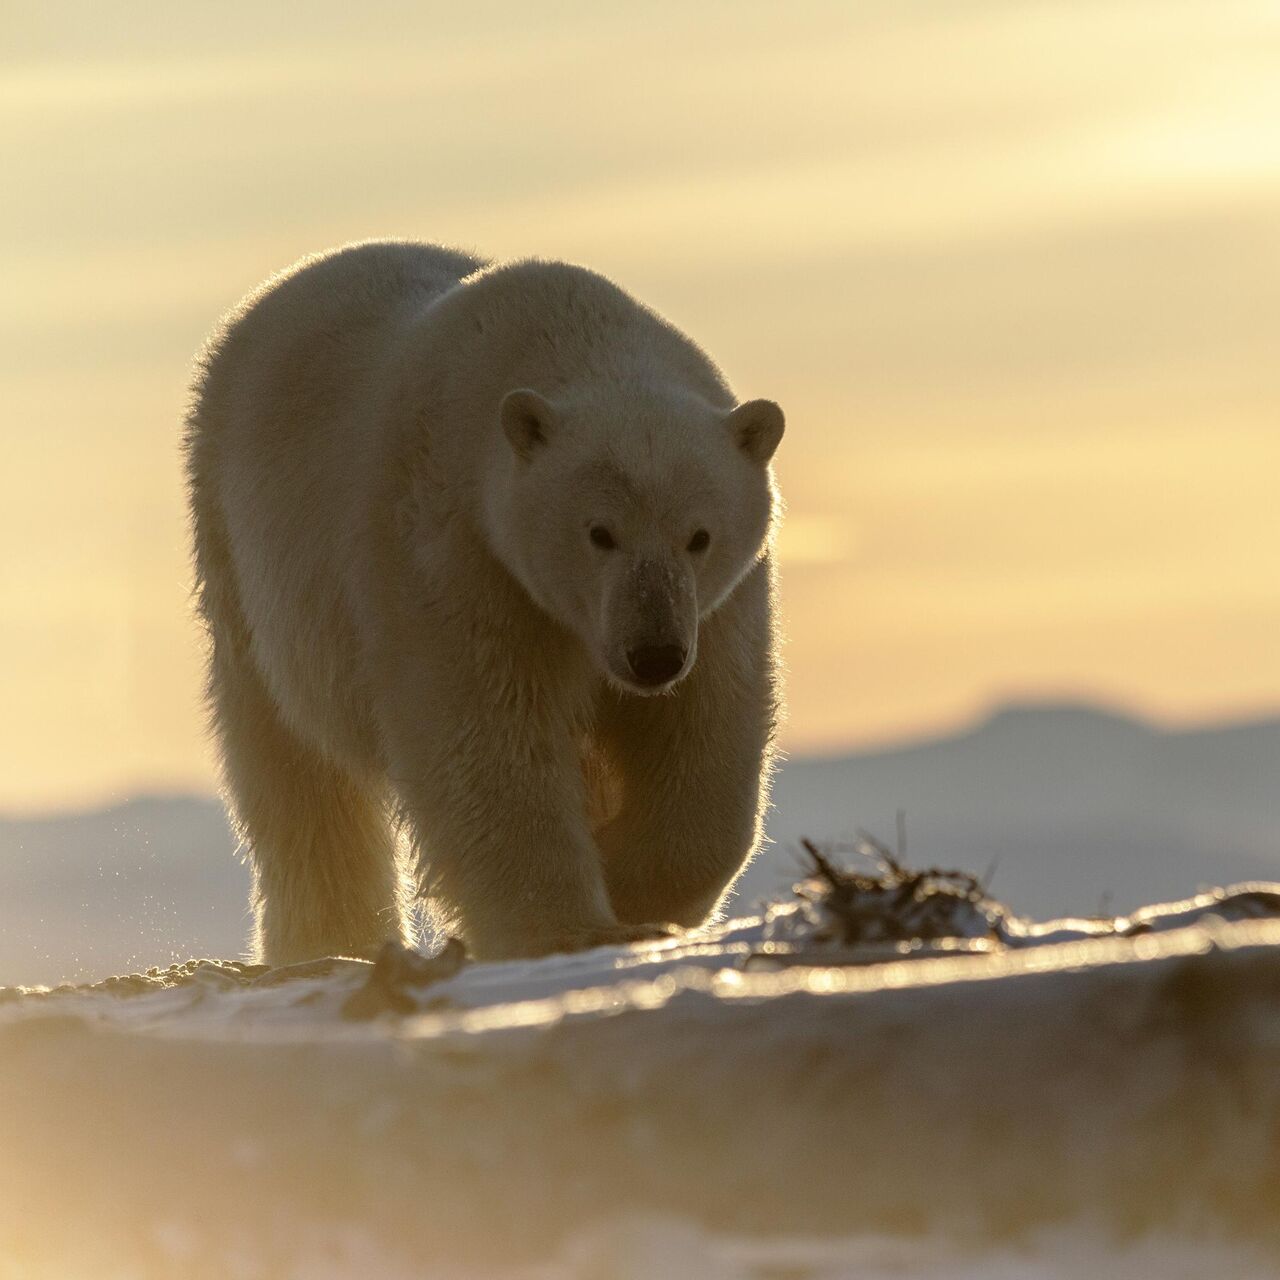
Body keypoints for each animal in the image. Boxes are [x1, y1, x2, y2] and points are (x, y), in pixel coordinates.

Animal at [185, 240, 783, 962]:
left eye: (699, 536)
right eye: (599, 532)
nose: (654, 655)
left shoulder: (718, 607)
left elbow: (706, 727)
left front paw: (637, 888)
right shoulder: (452, 552)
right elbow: (483, 732)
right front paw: (563, 926)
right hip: (246, 562)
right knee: (295, 771)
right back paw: (328, 941)